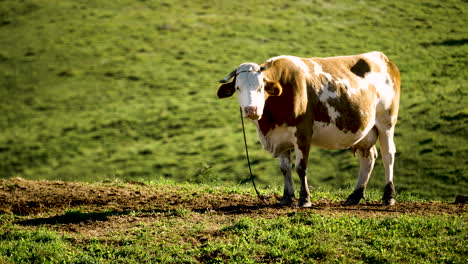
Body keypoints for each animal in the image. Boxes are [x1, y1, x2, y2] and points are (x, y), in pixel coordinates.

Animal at [218, 51, 400, 207]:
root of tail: (383, 58)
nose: (251, 110)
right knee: (368, 157)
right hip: (364, 130)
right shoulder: (280, 137)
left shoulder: (303, 133)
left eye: (260, 87)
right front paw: (286, 198)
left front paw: (304, 199)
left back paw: (389, 196)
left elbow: (300, 167)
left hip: (386, 122)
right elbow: (285, 168)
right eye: (238, 88)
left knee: (388, 155)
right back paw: (354, 196)